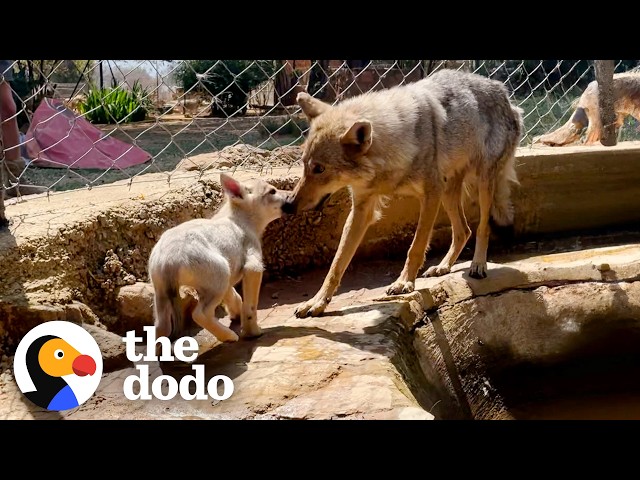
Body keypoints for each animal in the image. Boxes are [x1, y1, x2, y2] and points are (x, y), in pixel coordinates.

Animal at [148, 173, 287, 342]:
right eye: (272, 191)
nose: (291, 196)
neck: (239, 219)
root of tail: (168, 261)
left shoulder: (229, 276)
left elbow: (234, 296)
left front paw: (236, 314)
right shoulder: (253, 266)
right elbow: (250, 305)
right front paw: (252, 332)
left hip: (162, 292)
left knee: (160, 327)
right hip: (219, 276)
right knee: (199, 314)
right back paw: (229, 336)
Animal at [283, 69, 524, 318]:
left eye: (319, 169)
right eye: (303, 164)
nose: (289, 204)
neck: (394, 145)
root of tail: (503, 93)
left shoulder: (430, 195)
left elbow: (415, 247)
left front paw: (404, 283)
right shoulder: (362, 209)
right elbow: (336, 264)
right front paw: (317, 302)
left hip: (481, 185)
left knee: (482, 227)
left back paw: (478, 265)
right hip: (448, 193)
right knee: (463, 231)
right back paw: (443, 266)